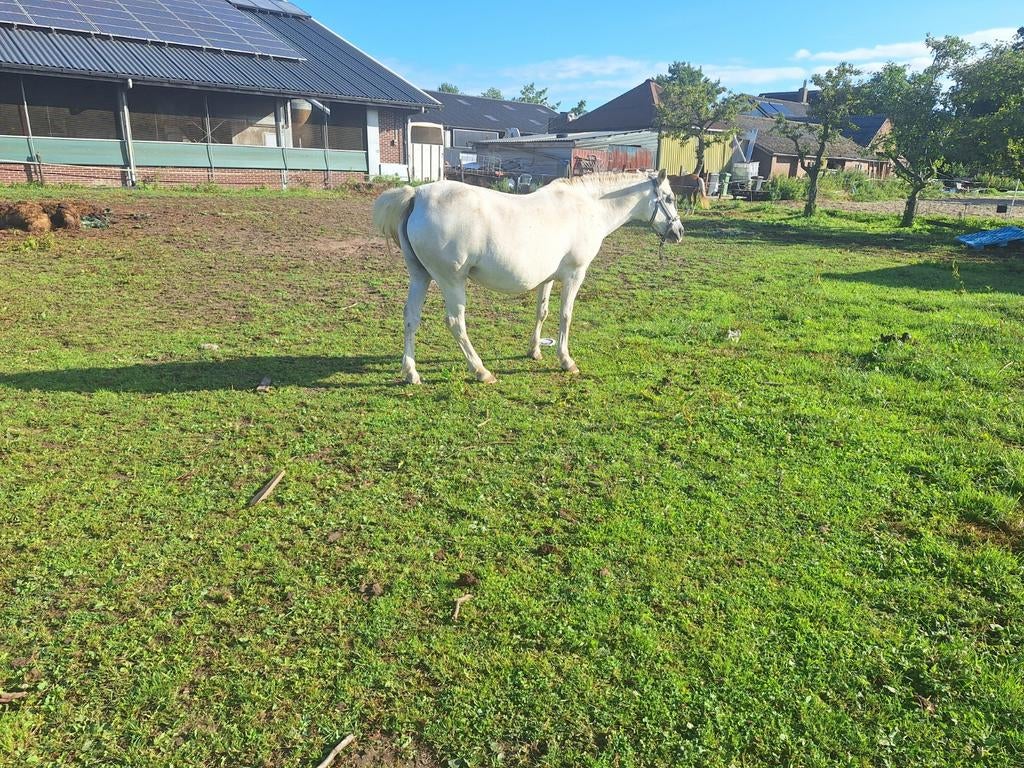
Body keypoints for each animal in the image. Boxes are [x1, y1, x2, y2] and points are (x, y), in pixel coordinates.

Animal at [373, 170, 684, 385]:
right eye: (669, 198)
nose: (678, 232)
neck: (588, 207)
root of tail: (417, 195)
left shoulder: (548, 278)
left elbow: (542, 312)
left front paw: (535, 351)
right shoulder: (575, 274)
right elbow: (565, 315)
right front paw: (566, 361)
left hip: (420, 276)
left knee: (411, 318)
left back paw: (411, 373)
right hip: (451, 281)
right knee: (455, 322)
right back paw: (481, 371)